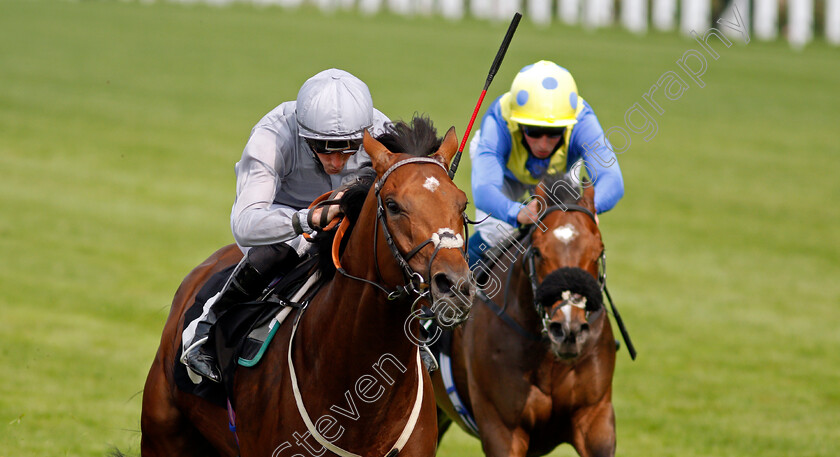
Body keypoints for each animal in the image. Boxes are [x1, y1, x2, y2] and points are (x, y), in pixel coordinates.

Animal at [434, 174, 616, 456]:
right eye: (538, 252)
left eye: (598, 251)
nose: (569, 330)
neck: (548, 357)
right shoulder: (502, 429)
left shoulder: (595, 418)